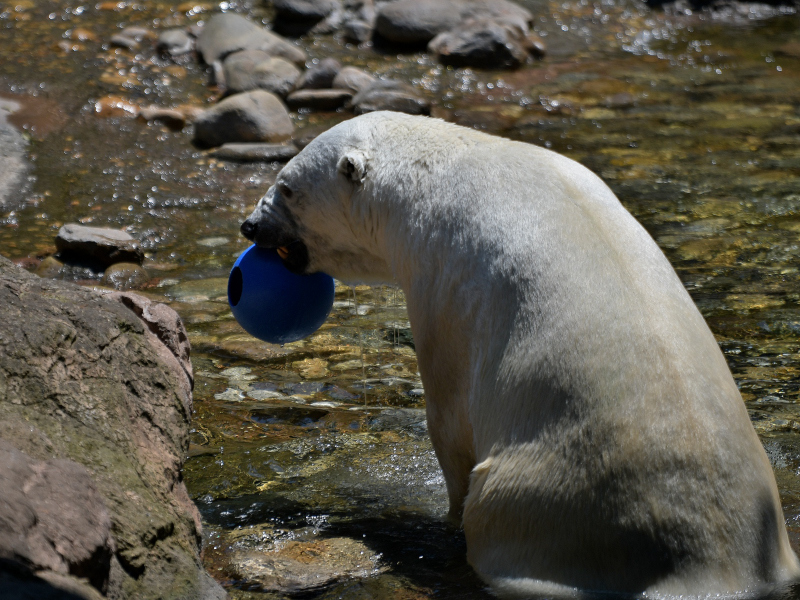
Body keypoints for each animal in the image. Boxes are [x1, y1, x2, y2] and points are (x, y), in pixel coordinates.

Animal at [239, 110, 800, 596]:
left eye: (286, 187)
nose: (250, 226)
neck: (443, 165)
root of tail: (708, 568)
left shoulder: (444, 282)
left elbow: (450, 418)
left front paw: (444, 511)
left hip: (544, 500)